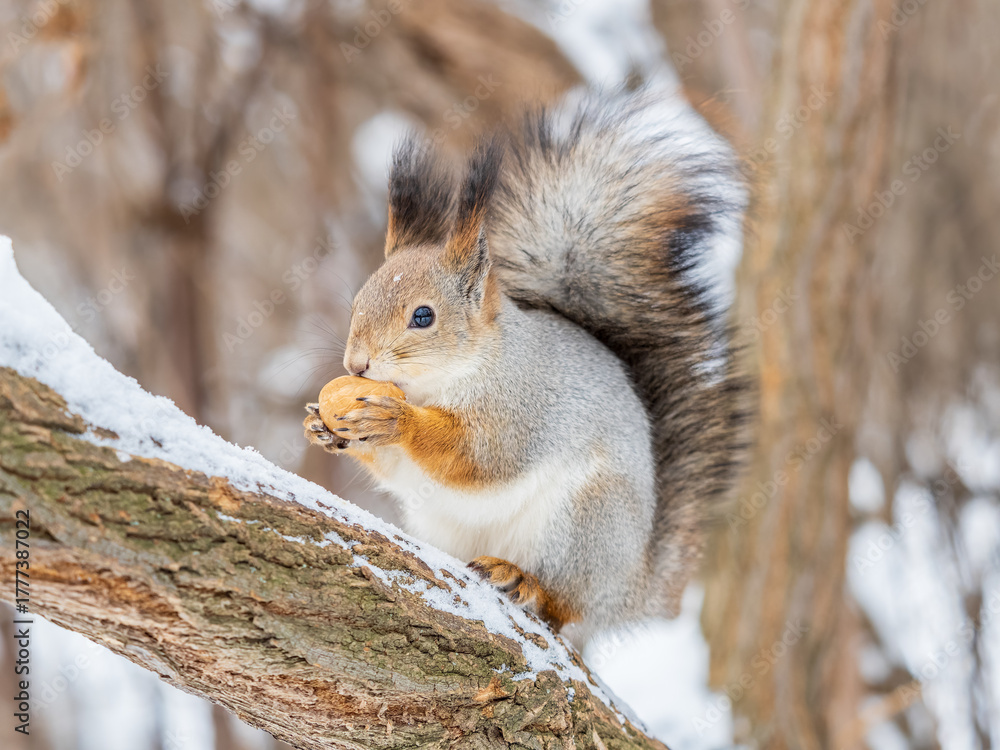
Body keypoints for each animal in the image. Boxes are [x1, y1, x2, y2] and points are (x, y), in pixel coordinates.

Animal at [304, 88, 749, 641]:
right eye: (357, 302)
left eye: (423, 316)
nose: (357, 364)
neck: (439, 382)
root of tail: (629, 592)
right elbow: (392, 468)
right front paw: (323, 429)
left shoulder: (522, 407)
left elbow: (479, 457)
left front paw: (396, 420)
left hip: (581, 525)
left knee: (565, 606)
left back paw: (525, 581)